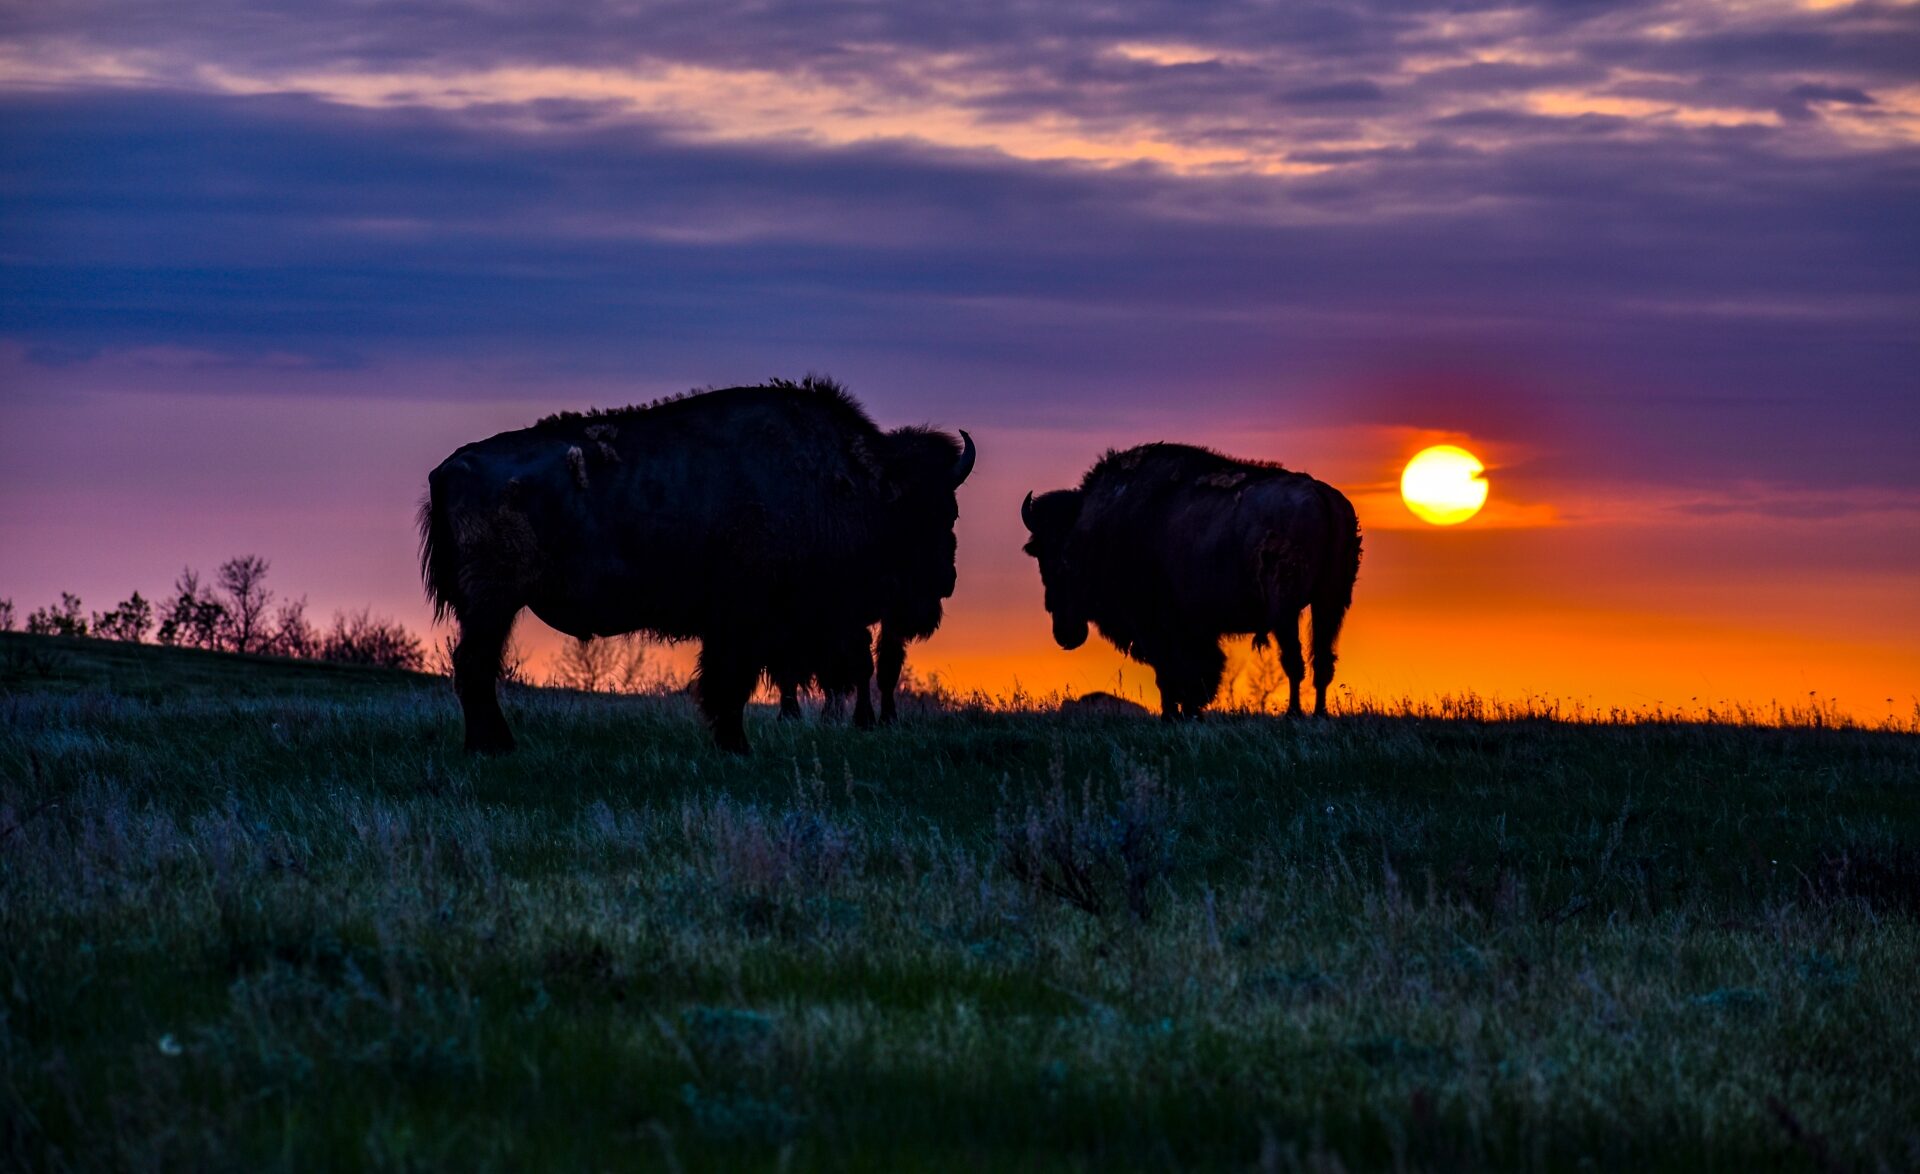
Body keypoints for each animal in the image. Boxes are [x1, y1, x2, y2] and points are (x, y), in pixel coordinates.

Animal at [420, 378, 974, 753]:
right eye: (934, 512)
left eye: (950, 509)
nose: (944, 582)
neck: (846, 483)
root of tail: (448, 467)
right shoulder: (744, 622)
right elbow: (730, 683)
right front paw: (735, 744)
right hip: (492, 603)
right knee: (475, 666)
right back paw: (494, 746)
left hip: (489, 606)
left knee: (474, 667)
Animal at [1021, 443, 1359, 719]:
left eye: (1055, 556)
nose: (1065, 634)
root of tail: (1321, 495)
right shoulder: (1193, 629)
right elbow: (1196, 672)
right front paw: (1190, 713)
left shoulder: (1154, 626)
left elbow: (1172, 672)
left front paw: (1173, 715)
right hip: (1329, 603)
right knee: (1321, 661)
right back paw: (1318, 714)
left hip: (1286, 611)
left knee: (1294, 661)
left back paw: (1293, 714)